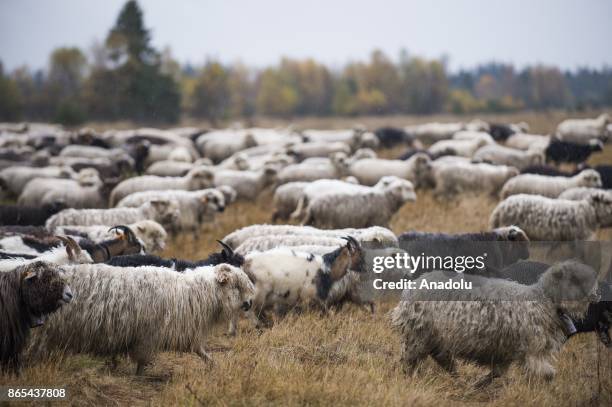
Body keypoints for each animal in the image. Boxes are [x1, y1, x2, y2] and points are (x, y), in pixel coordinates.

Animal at [26, 262, 253, 374]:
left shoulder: (184, 331)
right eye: (236, 286)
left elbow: (199, 350)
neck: (193, 292)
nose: (250, 303)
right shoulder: (147, 335)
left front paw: (215, 365)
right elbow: (142, 361)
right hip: (41, 333)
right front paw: (139, 376)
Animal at [392, 262, 596, 386]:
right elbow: (547, 374)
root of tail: (411, 288)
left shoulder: (507, 352)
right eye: (575, 280)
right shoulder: (532, 349)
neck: (541, 300)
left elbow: (497, 373)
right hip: (418, 335)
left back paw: (459, 381)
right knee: (409, 361)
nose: (595, 295)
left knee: (442, 358)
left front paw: (479, 385)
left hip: (435, 337)